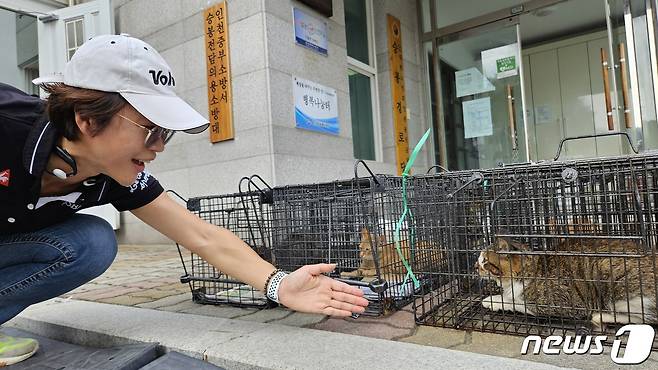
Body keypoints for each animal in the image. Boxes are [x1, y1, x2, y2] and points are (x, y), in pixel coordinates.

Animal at [476, 236, 656, 328]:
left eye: (484, 261)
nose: (474, 266)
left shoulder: (560, 304)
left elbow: (517, 302)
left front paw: (493, 300)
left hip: (615, 282)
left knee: (645, 319)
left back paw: (601, 316)